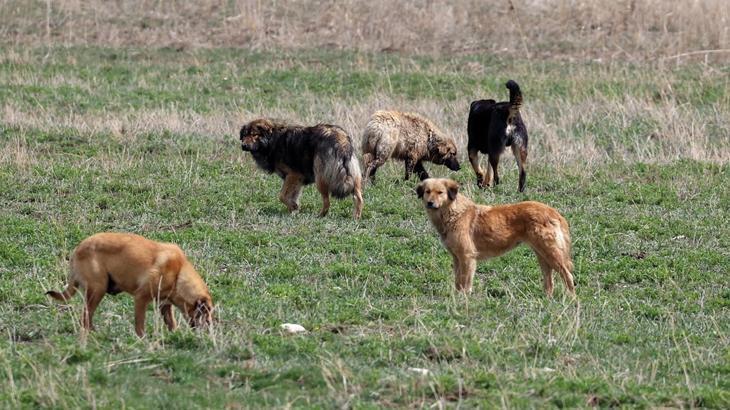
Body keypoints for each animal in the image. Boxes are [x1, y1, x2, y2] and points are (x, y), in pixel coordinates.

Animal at [46, 232, 213, 338]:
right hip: (98, 289)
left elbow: (171, 323)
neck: (179, 273)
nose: (211, 328)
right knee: (85, 317)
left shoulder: (164, 304)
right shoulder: (141, 298)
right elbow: (140, 324)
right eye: (206, 312)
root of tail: (77, 250)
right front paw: (142, 340)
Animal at [416, 178, 576, 296]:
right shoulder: (457, 258)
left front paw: (463, 299)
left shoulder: (467, 257)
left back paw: (571, 298)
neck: (453, 213)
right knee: (549, 281)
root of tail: (554, 212)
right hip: (542, 255)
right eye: (427, 192)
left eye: (440, 192)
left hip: (551, 254)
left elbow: (465, 282)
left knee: (568, 275)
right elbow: (457, 281)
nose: (430, 203)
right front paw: (456, 297)